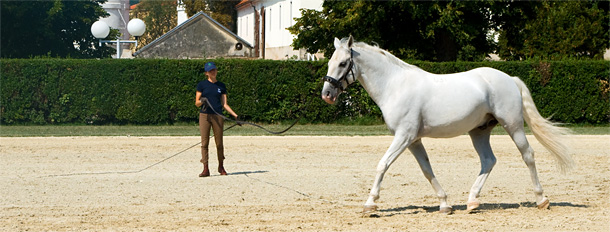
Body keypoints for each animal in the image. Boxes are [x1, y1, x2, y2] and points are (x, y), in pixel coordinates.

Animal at [320, 36, 572, 214]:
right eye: (329, 62)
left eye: (343, 63)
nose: (327, 94)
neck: (395, 85)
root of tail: (510, 79)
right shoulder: (414, 140)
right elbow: (427, 169)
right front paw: (444, 204)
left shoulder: (404, 136)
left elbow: (383, 165)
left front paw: (370, 204)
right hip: (479, 131)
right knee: (488, 160)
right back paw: (472, 202)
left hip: (513, 125)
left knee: (528, 155)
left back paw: (541, 199)